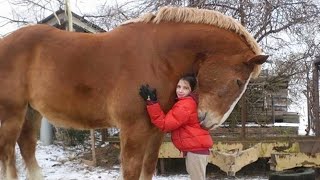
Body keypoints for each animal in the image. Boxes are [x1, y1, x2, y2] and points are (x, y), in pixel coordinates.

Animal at [0, 6, 268, 180]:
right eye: (238, 81)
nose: (208, 121)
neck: (157, 57)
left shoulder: (155, 132)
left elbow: (147, 170)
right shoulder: (133, 130)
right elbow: (131, 171)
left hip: (31, 112)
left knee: (26, 147)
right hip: (11, 114)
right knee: (8, 154)